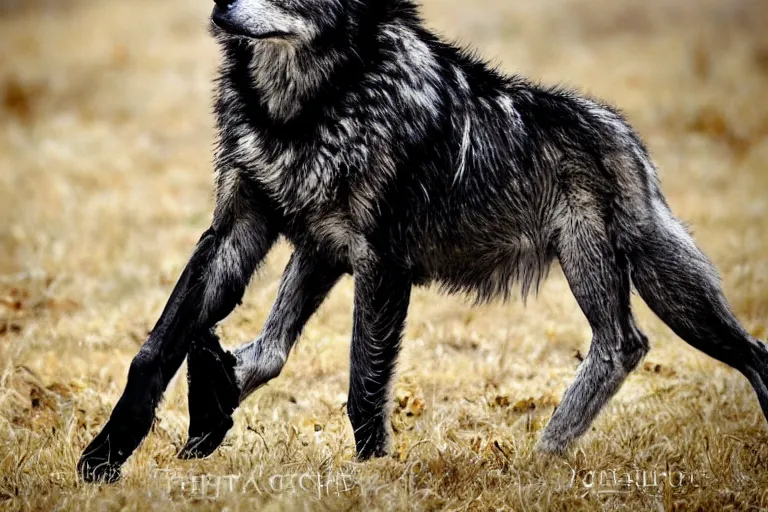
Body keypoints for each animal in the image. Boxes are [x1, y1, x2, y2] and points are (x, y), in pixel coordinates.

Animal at [76, 0, 768, 482]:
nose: (220, 11)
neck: (304, 111)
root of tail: (625, 134)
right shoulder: (263, 234)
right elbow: (167, 352)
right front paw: (108, 456)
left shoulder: (380, 263)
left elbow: (362, 388)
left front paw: (371, 481)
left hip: (619, 268)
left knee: (638, 344)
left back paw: (544, 452)